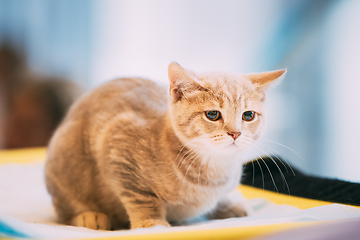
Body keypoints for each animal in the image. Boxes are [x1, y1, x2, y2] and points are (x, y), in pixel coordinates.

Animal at [45, 62, 286, 230]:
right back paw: (88, 215)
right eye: (212, 114)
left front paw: (229, 205)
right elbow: (141, 198)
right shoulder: (117, 147)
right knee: (64, 208)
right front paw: (151, 224)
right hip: (64, 162)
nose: (236, 133)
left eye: (248, 115)